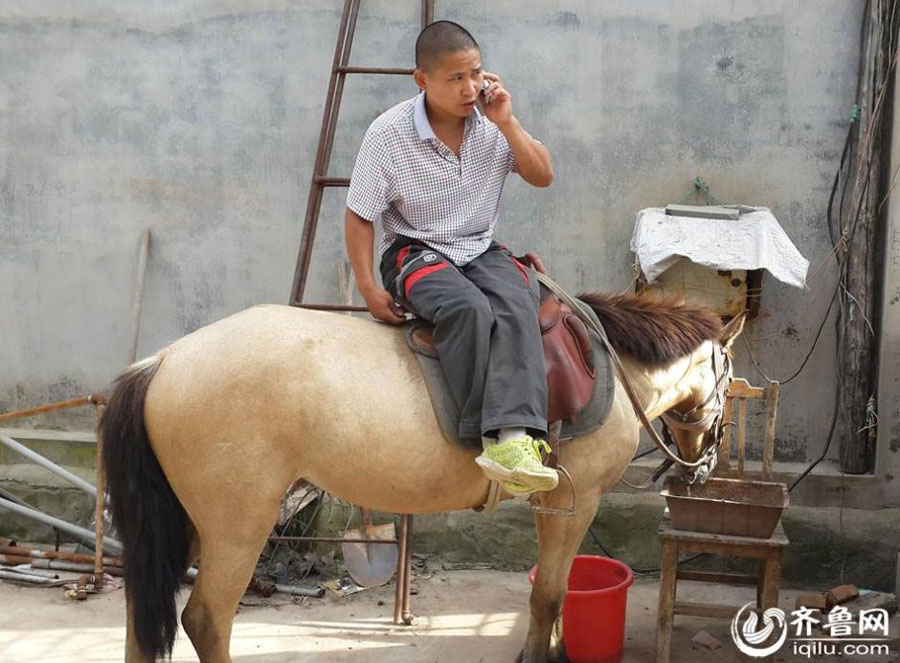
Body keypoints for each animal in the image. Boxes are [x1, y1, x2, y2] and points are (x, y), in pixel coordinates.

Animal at [98, 294, 744, 660]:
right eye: (731, 380)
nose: (704, 464)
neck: (609, 363)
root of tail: (163, 362)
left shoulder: (552, 504)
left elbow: (551, 596)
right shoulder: (575, 500)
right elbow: (548, 596)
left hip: (184, 524)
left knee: (141, 615)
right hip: (238, 525)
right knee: (205, 620)